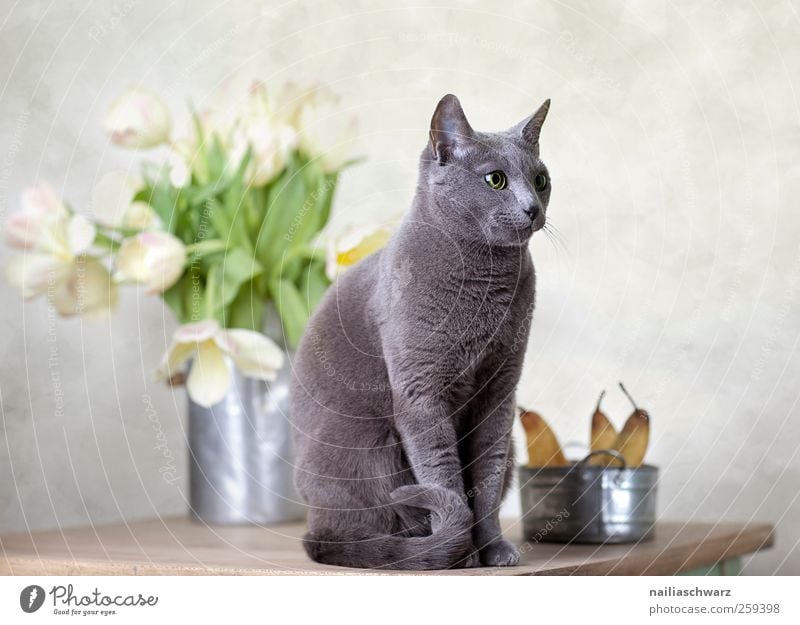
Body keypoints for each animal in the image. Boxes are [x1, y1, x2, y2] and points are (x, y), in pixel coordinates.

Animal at [292, 95, 552, 568]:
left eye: (541, 180)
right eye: (496, 179)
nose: (533, 207)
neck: (484, 281)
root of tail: (312, 526)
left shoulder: (500, 391)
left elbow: (486, 481)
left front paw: (492, 549)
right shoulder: (421, 391)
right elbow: (443, 474)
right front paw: (462, 553)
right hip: (370, 445)